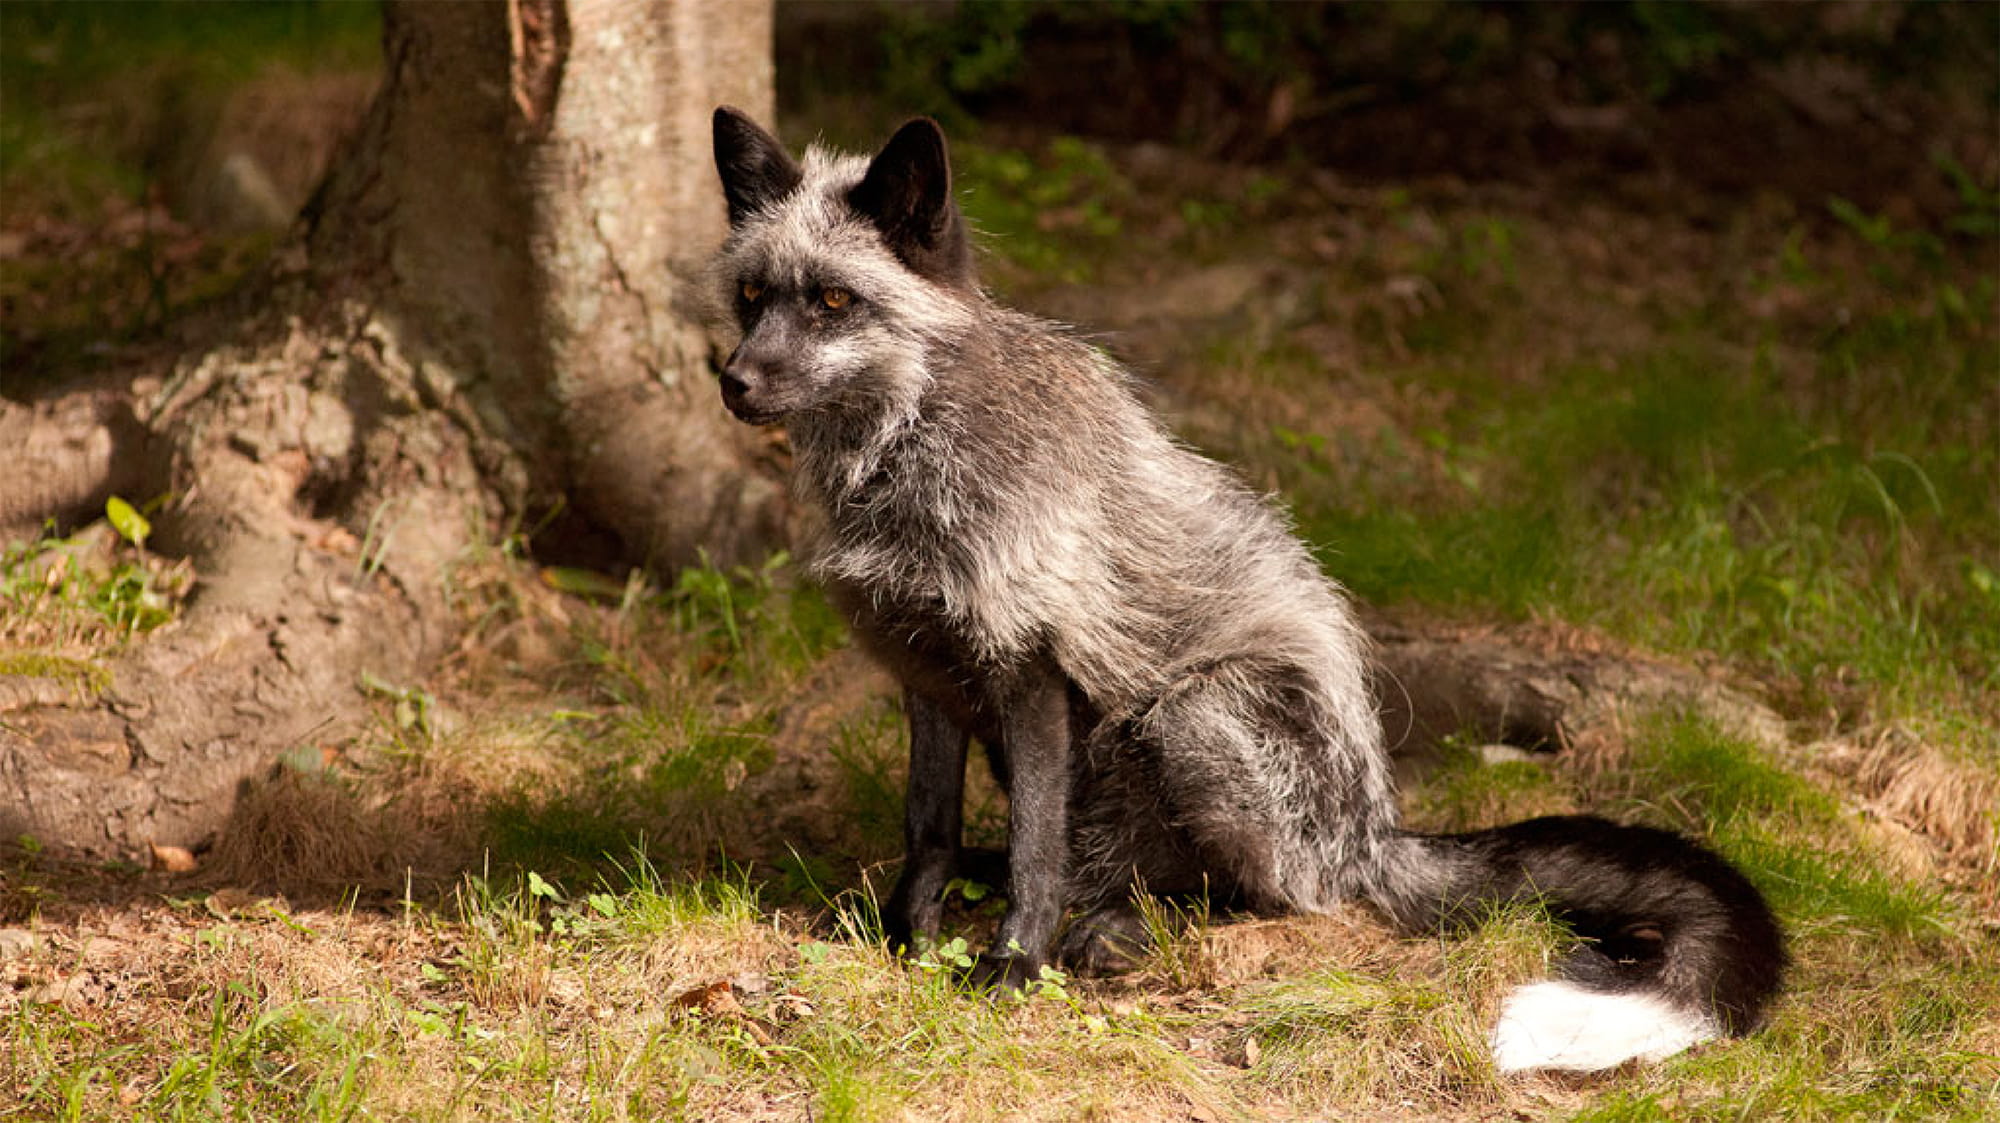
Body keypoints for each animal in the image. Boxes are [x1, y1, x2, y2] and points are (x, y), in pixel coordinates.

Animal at [712, 111, 1792, 1063]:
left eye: (834, 302)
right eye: (753, 297)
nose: (732, 381)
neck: (909, 461)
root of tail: (1373, 834)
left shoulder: (1029, 668)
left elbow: (1035, 855)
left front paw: (1014, 965)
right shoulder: (925, 668)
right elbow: (928, 828)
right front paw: (903, 935)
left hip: (1193, 716)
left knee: (1252, 894)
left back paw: (1122, 928)